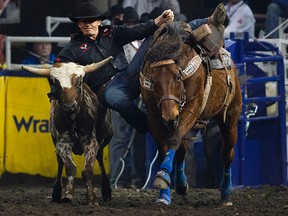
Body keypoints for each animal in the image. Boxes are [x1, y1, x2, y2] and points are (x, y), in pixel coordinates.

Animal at [141, 21, 242, 206]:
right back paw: (182, 186)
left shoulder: (191, 109)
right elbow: (166, 148)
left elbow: (174, 140)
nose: (170, 114)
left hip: (230, 118)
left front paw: (163, 175)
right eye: (153, 81)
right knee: (182, 150)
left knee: (226, 154)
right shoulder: (154, 118)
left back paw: (226, 194)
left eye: (177, 77)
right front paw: (164, 193)